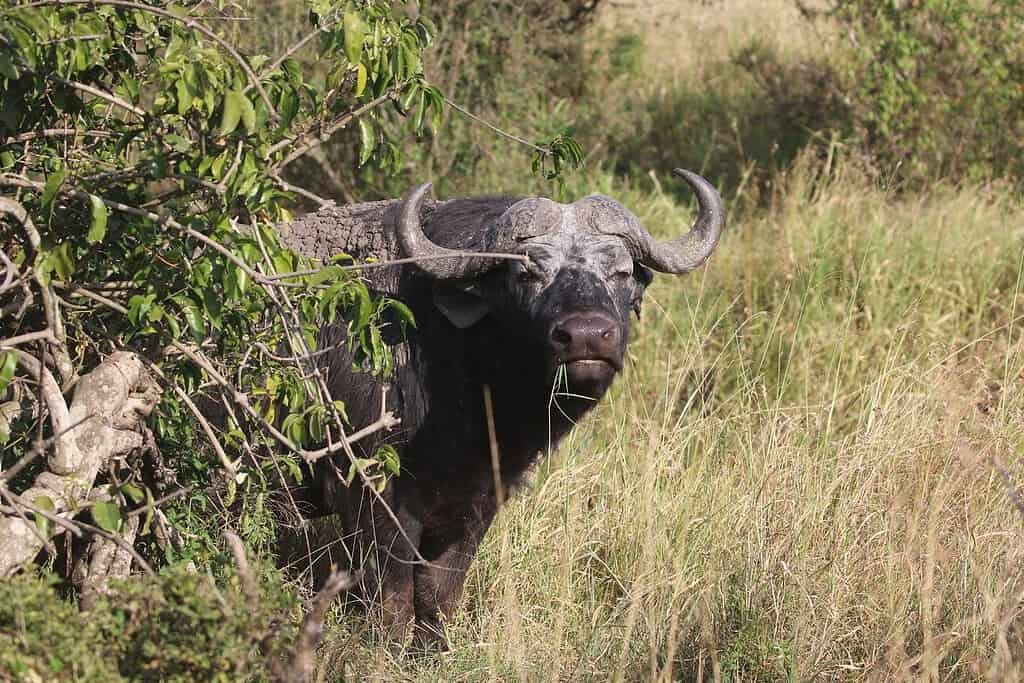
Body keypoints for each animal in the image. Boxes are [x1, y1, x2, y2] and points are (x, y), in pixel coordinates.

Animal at [280, 168, 724, 647]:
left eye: (621, 272)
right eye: (526, 273)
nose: (586, 336)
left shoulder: (476, 501)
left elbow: (440, 590)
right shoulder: (372, 494)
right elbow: (392, 594)